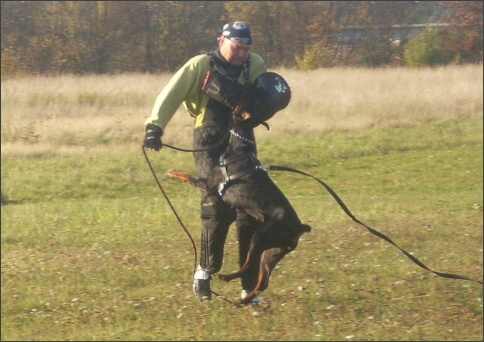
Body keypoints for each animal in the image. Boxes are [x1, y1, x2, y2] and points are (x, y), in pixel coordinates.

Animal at [167, 105, 310, 304]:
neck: (240, 144)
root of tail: (298, 227)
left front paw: (173, 172)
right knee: (263, 281)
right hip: (272, 252)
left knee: (248, 264)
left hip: (260, 237)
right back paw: (244, 300)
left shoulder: (210, 186)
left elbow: (189, 177)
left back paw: (227, 278)